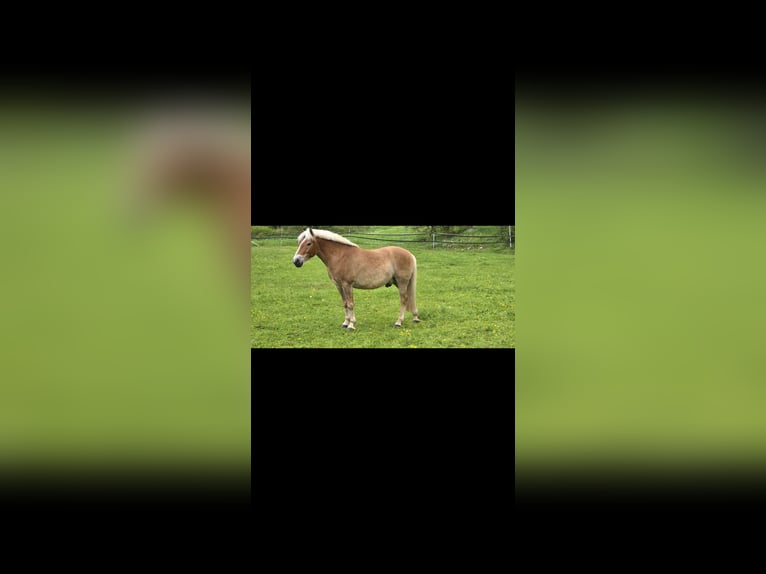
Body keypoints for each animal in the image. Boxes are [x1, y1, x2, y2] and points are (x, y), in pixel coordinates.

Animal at [292, 228, 420, 330]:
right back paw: (415, 317)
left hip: (402, 282)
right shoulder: (339, 285)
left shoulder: (347, 284)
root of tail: (409, 254)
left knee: (404, 299)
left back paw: (399, 322)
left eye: (308, 243)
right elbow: (345, 303)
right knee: (409, 299)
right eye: (299, 243)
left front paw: (351, 325)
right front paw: (345, 323)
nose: (296, 261)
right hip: (398, 282)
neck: (340, 256)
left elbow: (350, 304)